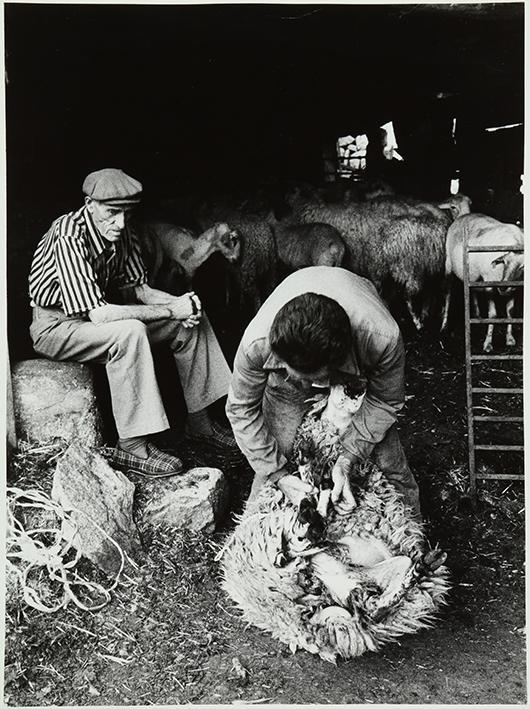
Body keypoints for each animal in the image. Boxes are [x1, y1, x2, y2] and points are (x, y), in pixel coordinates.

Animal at [440, 213, 520, 352]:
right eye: (504, 261)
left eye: (522, 267)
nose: (503, 288)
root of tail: (464, 215)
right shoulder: (489, 282)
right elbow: (493, 315)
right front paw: (488, 343)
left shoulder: (513, 289)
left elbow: (510, 312)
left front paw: (510, 339)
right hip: (448, 265)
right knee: (448, 295)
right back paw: (444, 326)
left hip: (473, 276)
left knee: (473, 291)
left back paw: (477, 316)